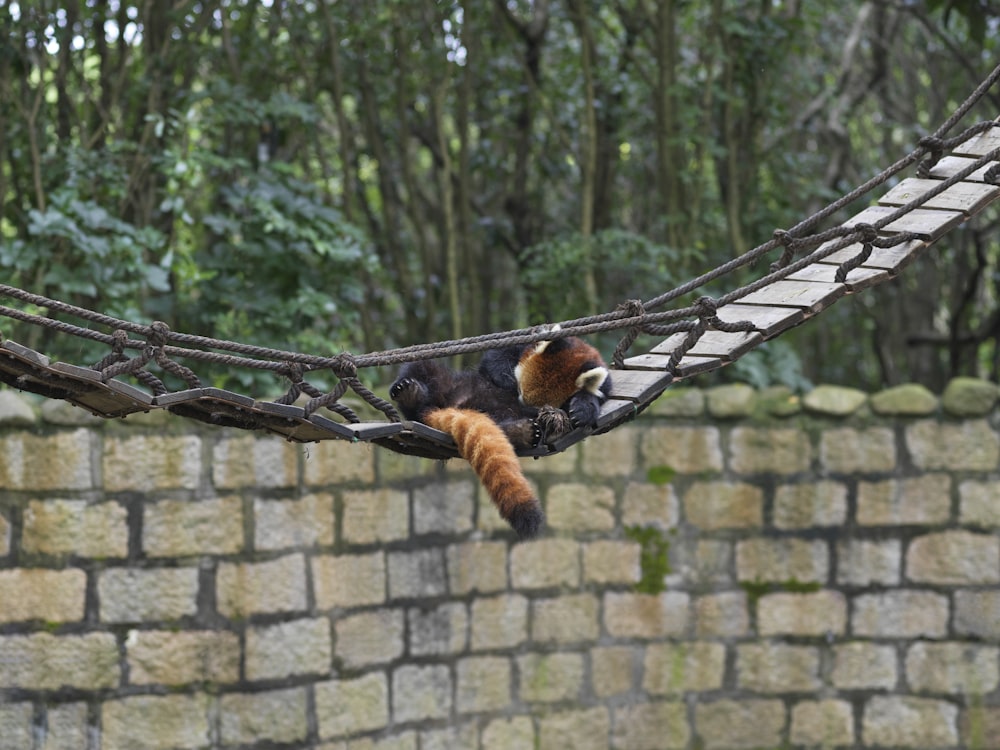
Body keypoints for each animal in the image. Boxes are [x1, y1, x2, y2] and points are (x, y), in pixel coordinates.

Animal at [394, 334, 612, 540]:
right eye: (520, 387)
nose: (521, 403)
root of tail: (453, 406)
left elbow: (591, 398)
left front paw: (582, 409)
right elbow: (495, 357)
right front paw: (506, 378)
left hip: (496, 412)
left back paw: (525, 431)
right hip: (446, 382)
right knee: (420, 368)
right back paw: (410, 394)